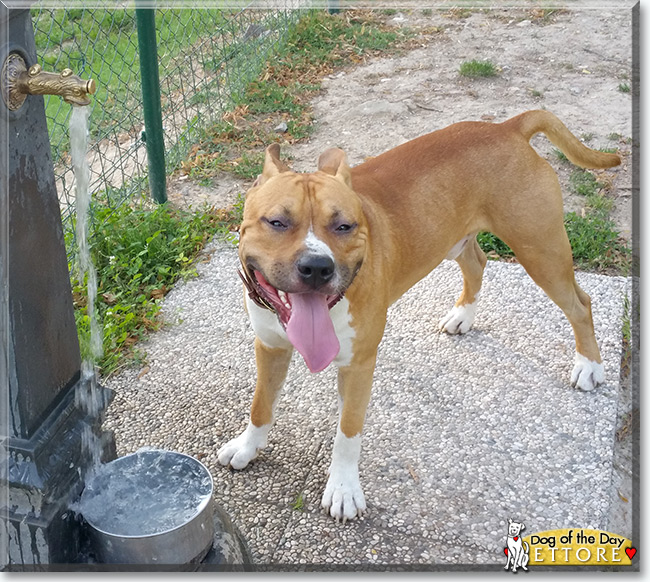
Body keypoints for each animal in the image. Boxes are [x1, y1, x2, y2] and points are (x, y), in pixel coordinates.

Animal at [216, 110, 616, 524]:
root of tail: (507, 127)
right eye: (276, 222)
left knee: (580, 304)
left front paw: (343, 489)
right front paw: (247, 447)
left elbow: (348, 430)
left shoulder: (359, 364)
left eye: (344, 226)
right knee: (477, 261)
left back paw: (589, 366)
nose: (317, 267)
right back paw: (462, 315)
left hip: (541, 251)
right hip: (456, 240)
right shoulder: (270, 347)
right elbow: (260, 405)